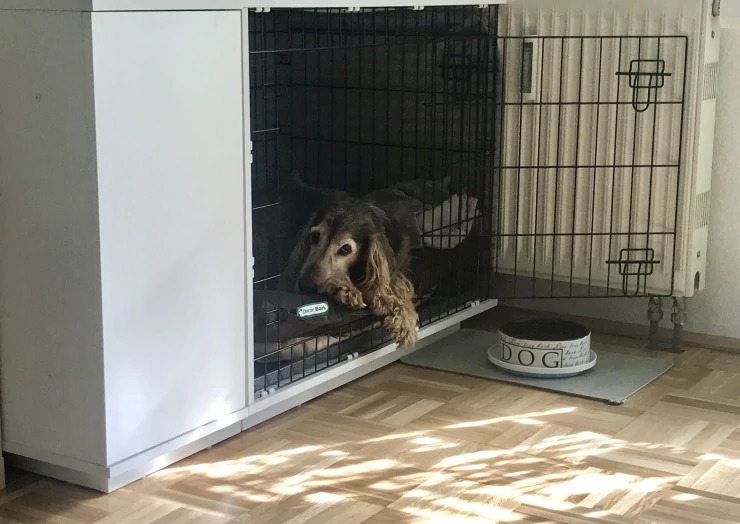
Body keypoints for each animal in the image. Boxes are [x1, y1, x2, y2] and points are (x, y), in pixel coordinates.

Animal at [285, 189, 419, 349]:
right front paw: (344, 290)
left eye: (345, 249)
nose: (304, 286)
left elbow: (398, 286)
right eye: (315, 236)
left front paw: (405, 321)